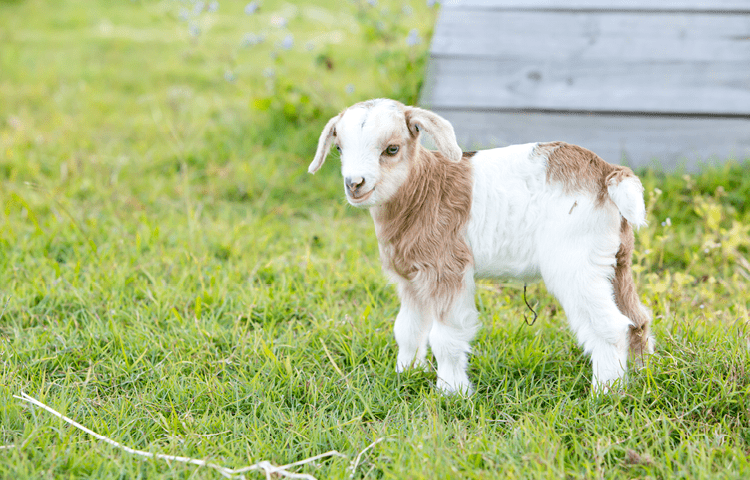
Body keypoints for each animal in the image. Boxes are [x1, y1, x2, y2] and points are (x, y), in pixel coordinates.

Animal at [308, 98, 653, 394]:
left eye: (392, 149)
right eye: (339, 148)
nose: (355, 184)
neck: (422, 190)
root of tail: (607, 173)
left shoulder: (448, 270)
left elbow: (445, 337)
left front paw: (452, 393)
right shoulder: (411, 281)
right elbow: (406, 329)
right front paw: (405, 375)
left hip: (575, 263)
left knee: (610, 326)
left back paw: (606, 391)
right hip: (615, 261)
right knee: (637, 318)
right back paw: (641, 375)